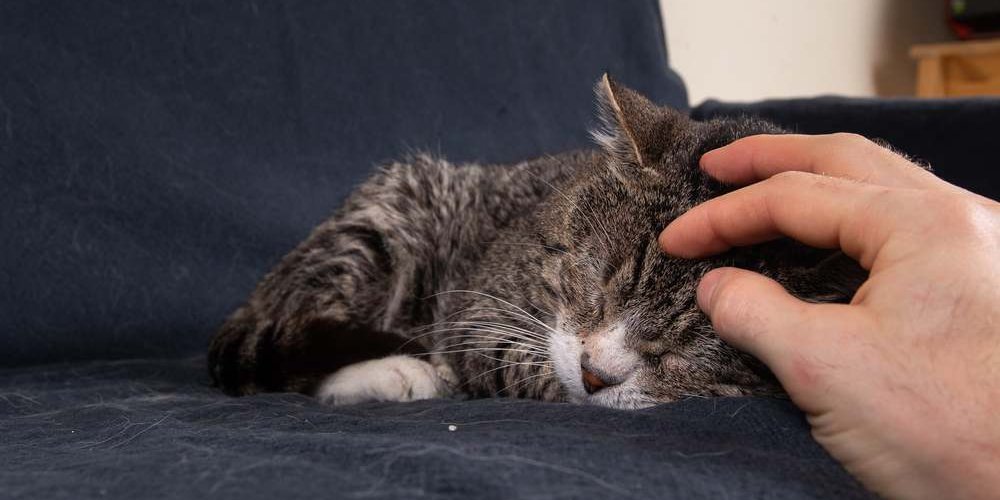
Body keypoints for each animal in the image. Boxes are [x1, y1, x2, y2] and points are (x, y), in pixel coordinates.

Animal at [207, 75, 864, 410]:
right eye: (597, 281)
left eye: (684, 350)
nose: (597, 375)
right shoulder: (476, 308)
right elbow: (511, 359)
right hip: (381, 225)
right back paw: (399, 371)